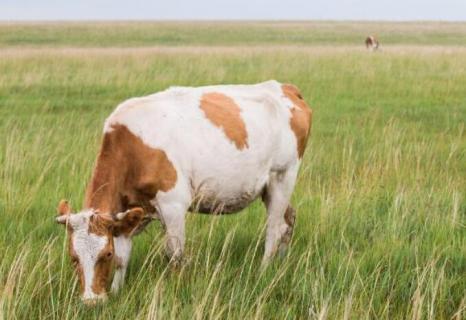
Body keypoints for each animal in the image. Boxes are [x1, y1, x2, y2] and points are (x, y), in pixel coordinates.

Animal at [55, 79, 314, 304]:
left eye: (104, 254)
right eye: (73, 257)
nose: (91, 302)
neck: (129, 148)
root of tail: (284, 87)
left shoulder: (173, 205)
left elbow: (174, 254)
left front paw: (176, 287)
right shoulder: (128, 213)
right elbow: (123, 257)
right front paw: (117, 292)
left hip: (283, 175)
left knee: (274, 228)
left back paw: (264, 269)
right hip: (268, 188)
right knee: (289, 219)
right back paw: (281, 262)